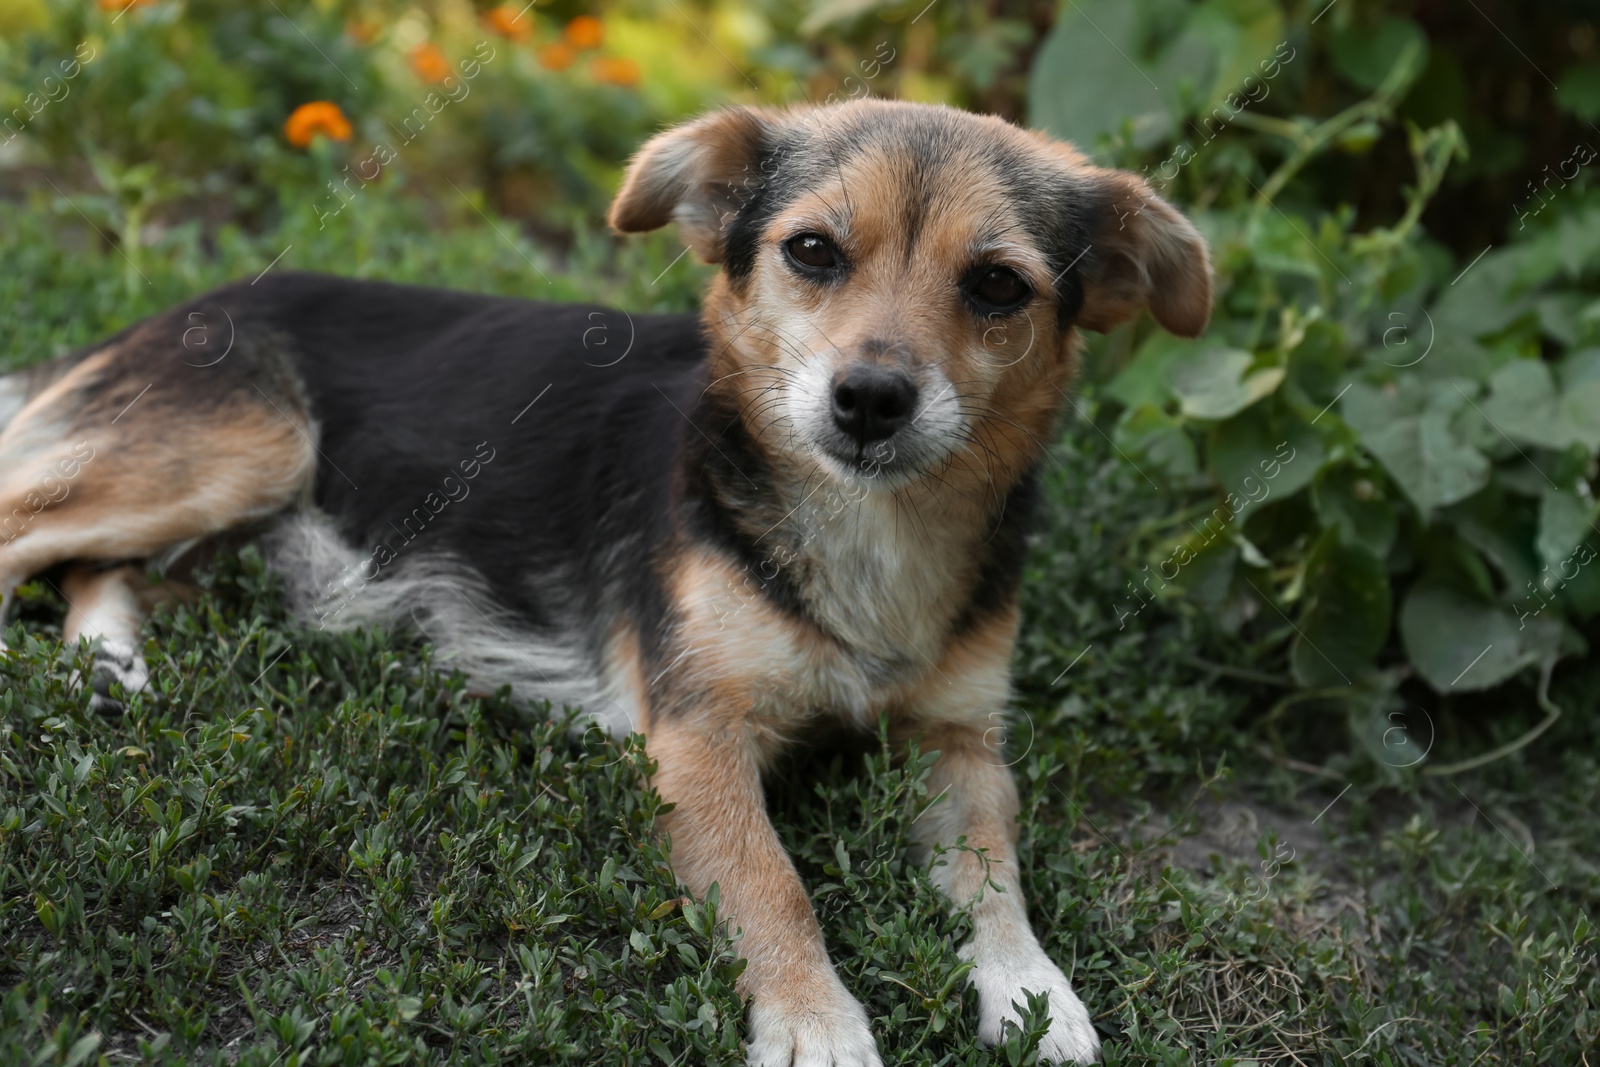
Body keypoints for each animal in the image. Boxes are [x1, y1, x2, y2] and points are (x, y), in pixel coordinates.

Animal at [0, 97, 1203, 1062]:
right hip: (248, 454)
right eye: (813, 251)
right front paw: (815, 1022)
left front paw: (1033, 988)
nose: (869, 399)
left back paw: (109, 661)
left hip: (250, 533)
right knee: (32, 529)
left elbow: (997, 868)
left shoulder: (957, 739)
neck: (868, 526)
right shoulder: (696, 735)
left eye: (998, 285)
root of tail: (186, 306)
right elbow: (773, 885)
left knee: (98, 564)